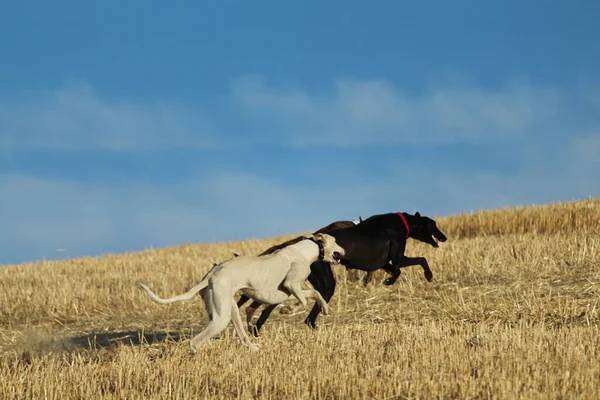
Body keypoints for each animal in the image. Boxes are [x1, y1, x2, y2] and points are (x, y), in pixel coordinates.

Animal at [139, 233, 344, 352]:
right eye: (336, 241)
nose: (343, 251)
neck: (305, 250)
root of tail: (212, 273)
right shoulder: (291, 285)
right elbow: (308, 297)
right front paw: (291, 309)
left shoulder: (289, 290)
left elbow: (314, 295)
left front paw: (322, 308)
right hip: (221, 319)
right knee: (194, 342)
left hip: (230, 311)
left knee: (242, 335)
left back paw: (254, 348)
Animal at [239, 212, 446, 334]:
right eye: (433, 224)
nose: (444, 237)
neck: (403, 222)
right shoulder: (398, 257)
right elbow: (421, 260)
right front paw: (428, 275)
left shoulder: (382, 263)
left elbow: (395, 271)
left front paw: (388, 281)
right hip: (325, 283)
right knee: (307, 316)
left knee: (274, 308)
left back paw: (258, 328)